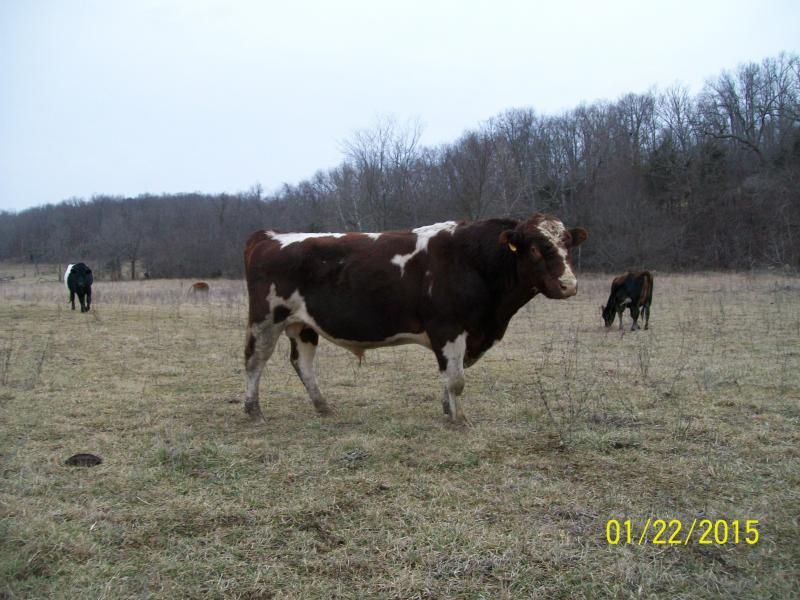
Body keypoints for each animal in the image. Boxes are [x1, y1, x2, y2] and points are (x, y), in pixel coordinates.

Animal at [243, 213, 588, 425]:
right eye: (535, 248)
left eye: (568, 245)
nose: (568, 285)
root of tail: (269, 236)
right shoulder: (448, 327)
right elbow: (456, 379)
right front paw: (460, 420)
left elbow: (449, 375)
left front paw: (448, 411)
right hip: (267, 319)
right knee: (254, 360)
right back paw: (254, 411)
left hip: (303, 325)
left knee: (303, 363)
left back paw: (323, 406)